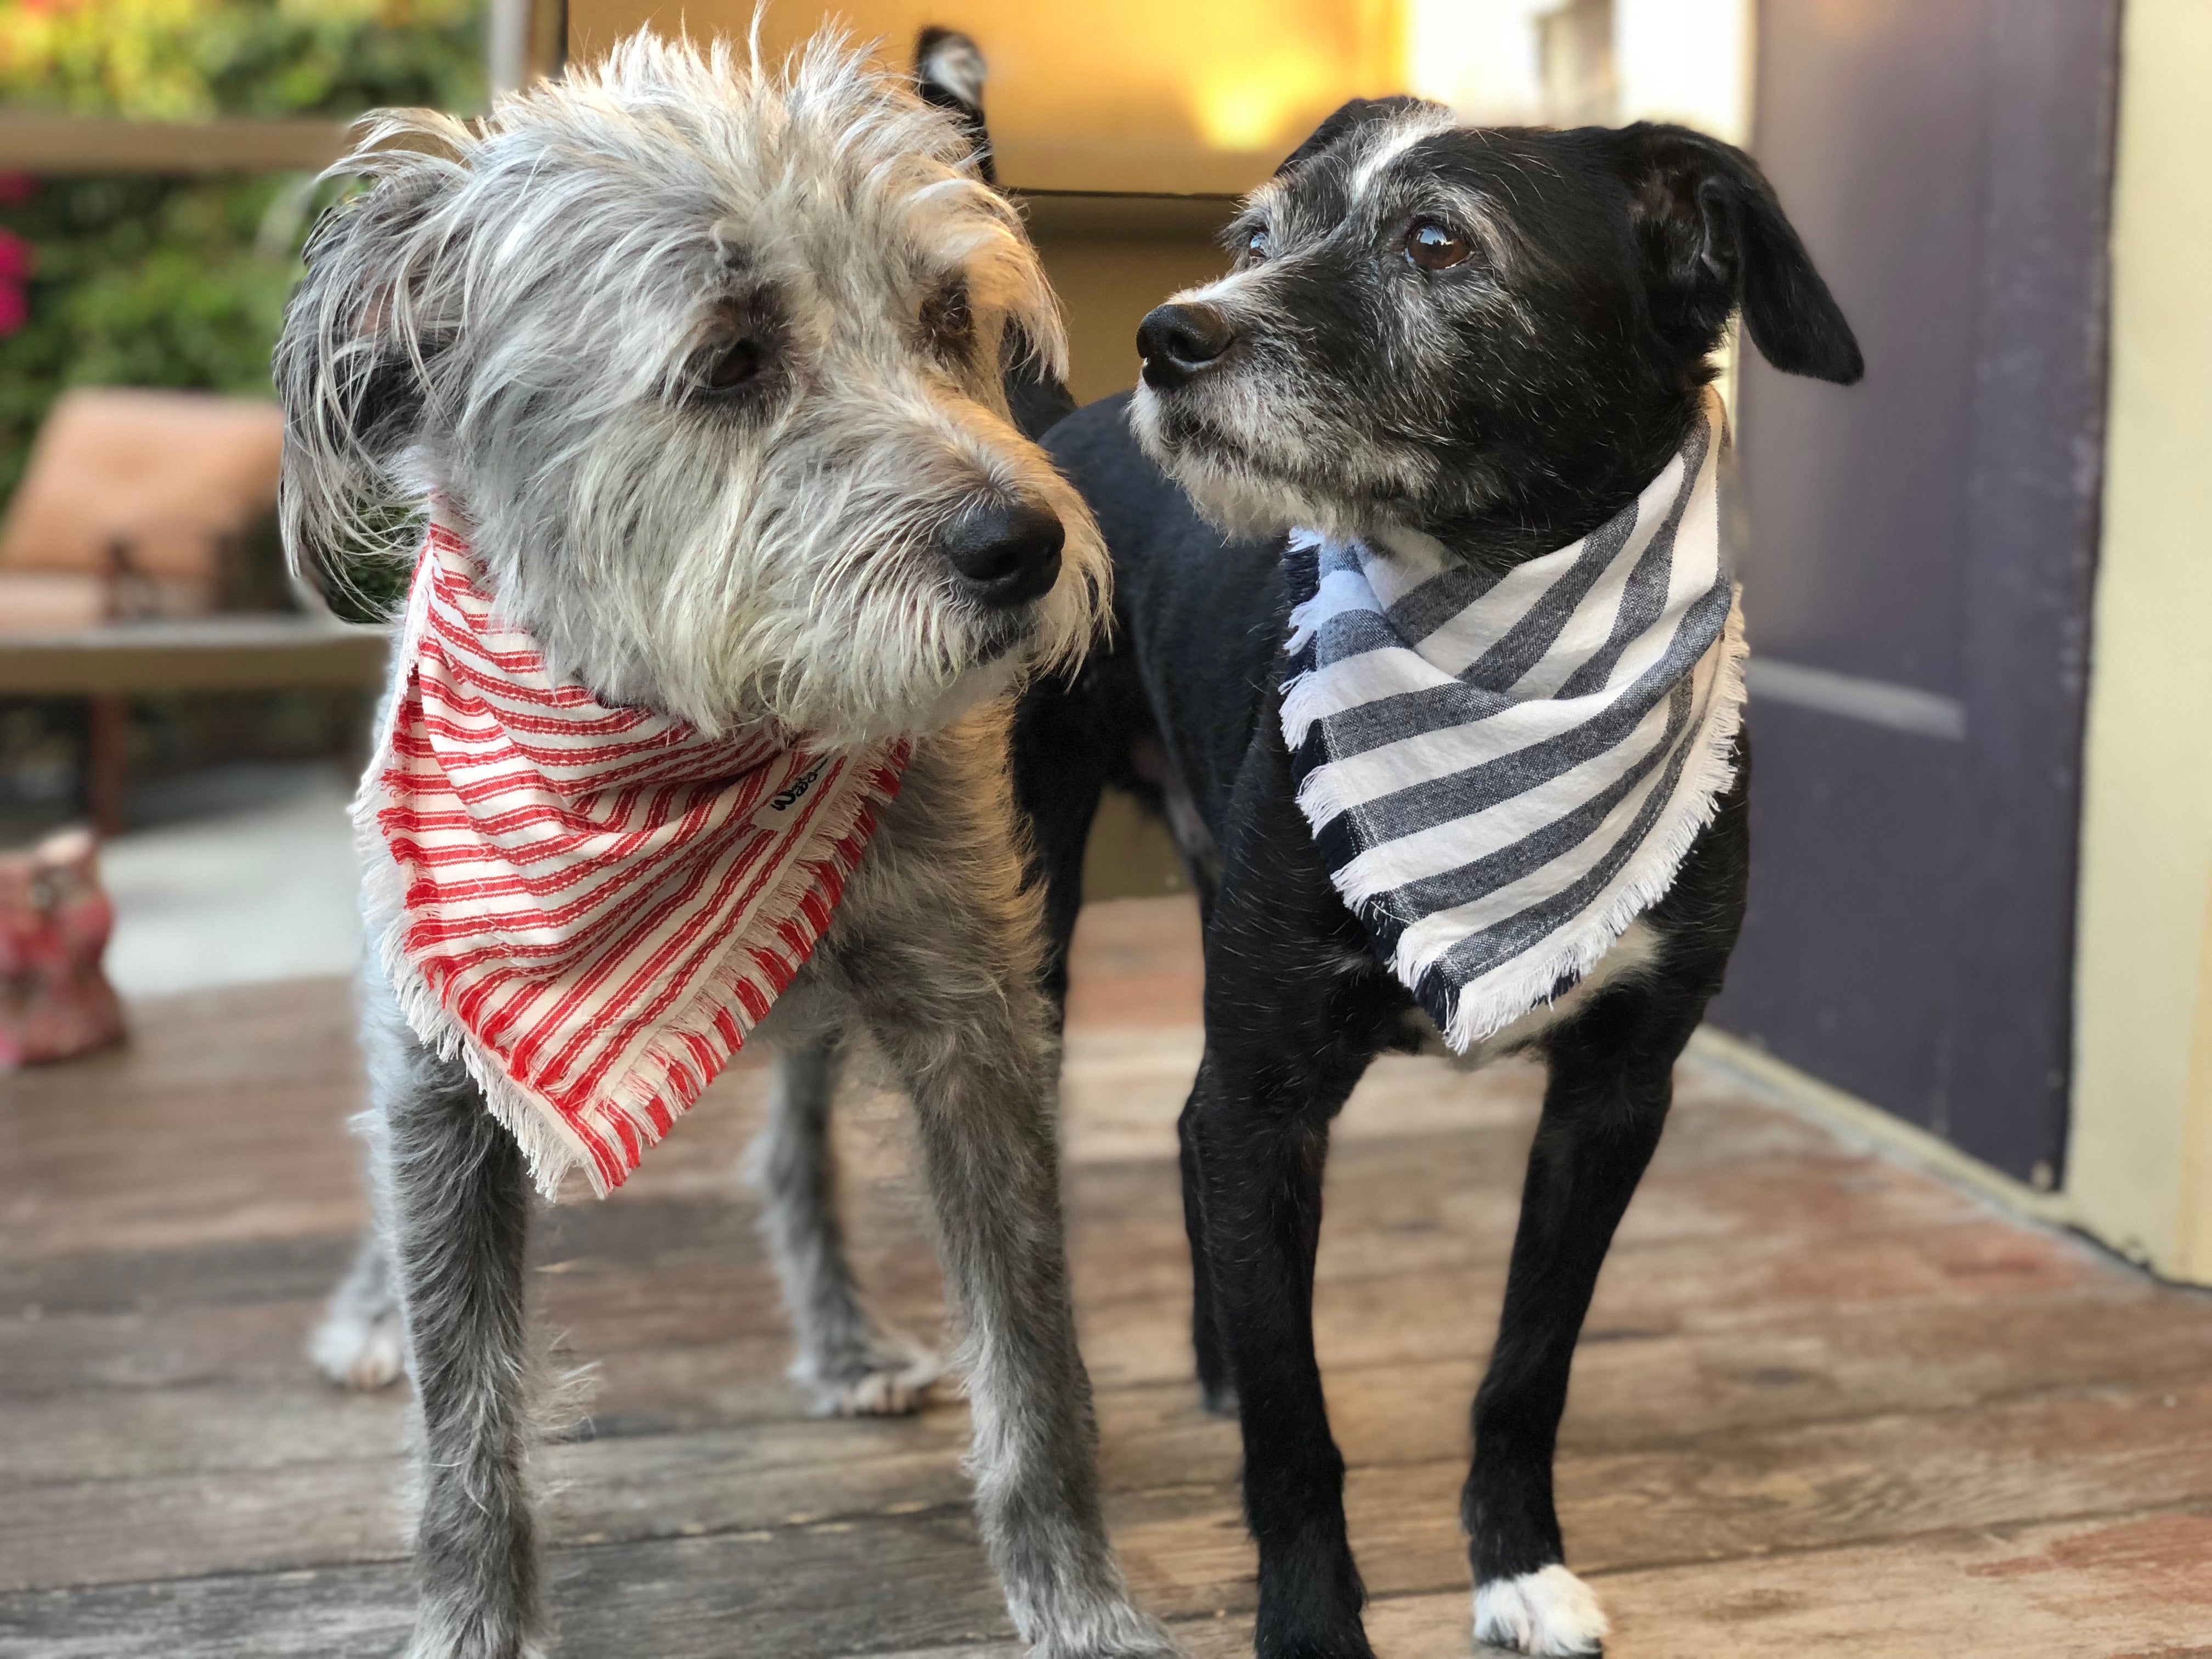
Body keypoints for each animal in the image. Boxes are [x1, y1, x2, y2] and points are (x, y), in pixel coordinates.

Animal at [281, 29, 1177, 1659]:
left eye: (946, 317)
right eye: (732, 358)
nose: (1024, 545)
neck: (686, 734)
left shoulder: (974, 1016)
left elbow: (1032, 1362)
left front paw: (1079, 1604)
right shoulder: (437, 1050)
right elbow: (466, 1405)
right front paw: (469, 1616)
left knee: (792, 1156)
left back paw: (845, 1338)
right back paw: (369, 1315)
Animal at [1017, 100, 1867, 1659]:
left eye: (1436, 241)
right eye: (1258, 238)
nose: (1171, 333)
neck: (1502, 649)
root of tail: (1066, 420)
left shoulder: (1615, 1098)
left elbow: (1530, 1362)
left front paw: (1517, 1563)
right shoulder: (1272, 1098)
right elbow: (1298, 1428)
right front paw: (1310, 1624)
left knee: (1181, 1128)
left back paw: (1214, 1355)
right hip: (1040, 905)